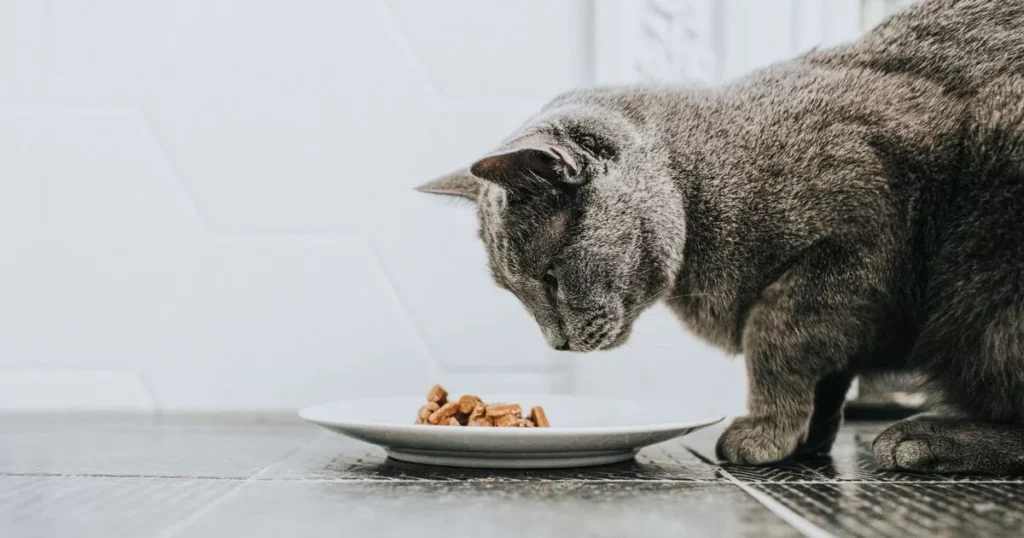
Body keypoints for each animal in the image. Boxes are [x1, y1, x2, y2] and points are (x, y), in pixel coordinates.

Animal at [415, 0, 1024, 471]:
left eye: (550, 276)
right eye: (513, 292)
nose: (554, 344)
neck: (698, 192)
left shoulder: (859, 231)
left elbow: (774, 336)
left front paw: (765, 430)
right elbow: (828, 370)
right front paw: (805, 438)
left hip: (985, 265)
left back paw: (928, 437)